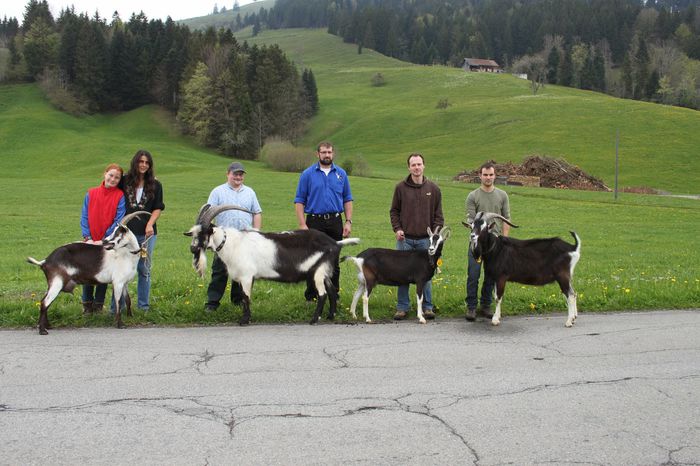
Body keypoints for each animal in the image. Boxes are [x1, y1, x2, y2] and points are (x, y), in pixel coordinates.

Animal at [185, 204, 360, 324]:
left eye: (203, 233)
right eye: (193, 234)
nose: (192, 248)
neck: (233, 243)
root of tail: (336, 243)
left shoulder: (246, 276)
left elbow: (245, 297)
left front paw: (244, 321)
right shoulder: (247, 278)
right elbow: (245, 297)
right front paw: (247, 317)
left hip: (318, 272)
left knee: (323, 294)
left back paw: (314, 320)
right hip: (323, 272)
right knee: (331, 291)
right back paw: (330, 316)